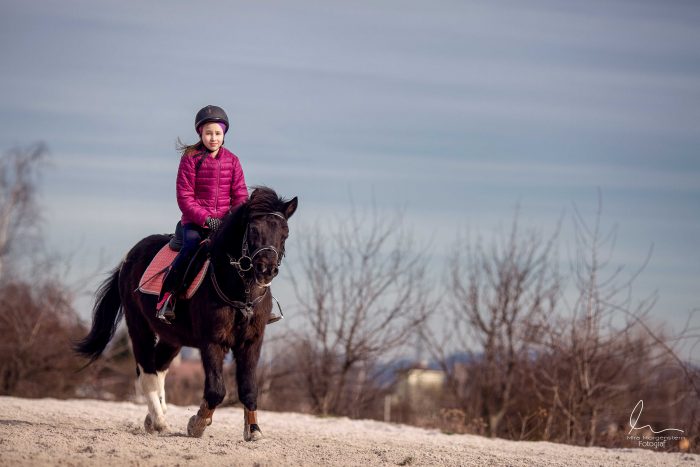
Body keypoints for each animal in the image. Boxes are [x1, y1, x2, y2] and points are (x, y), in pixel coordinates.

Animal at [74, 187, 298, 442]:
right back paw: (160, 422)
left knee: (158, 367)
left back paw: (153, 418)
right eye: (253, 230)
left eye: (285, 233)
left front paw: (253, 430)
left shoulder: (251, 342)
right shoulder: (212, 341)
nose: (266, 270)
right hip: (138, 325)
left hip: (172, 337)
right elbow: (216, 389)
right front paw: (197, 423)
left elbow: (249, 388)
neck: (241, 293)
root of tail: (128, 259)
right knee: (146, 371)